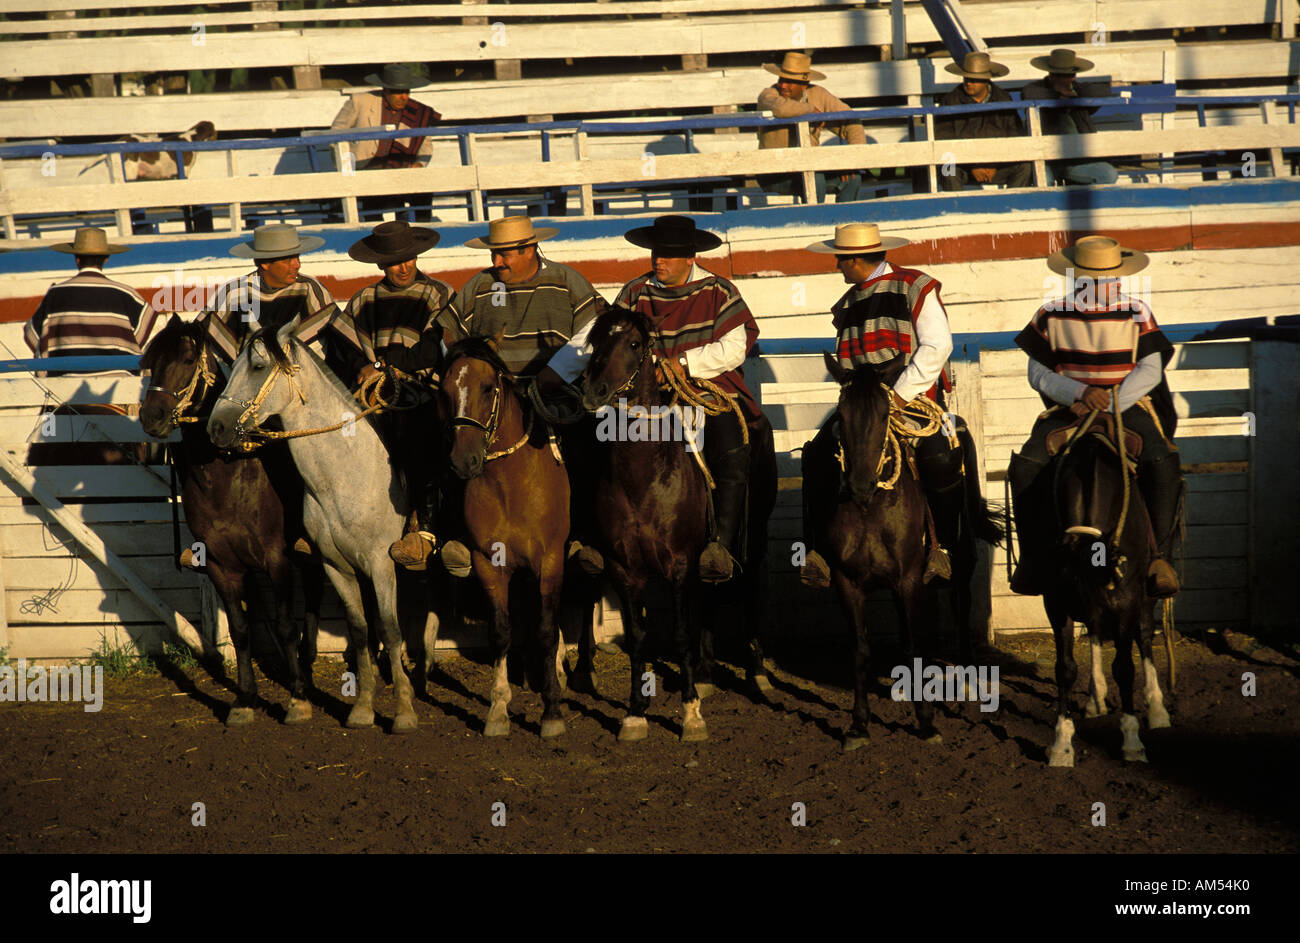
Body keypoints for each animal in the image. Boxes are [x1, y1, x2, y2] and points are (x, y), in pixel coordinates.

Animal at [138, 316, 325, 723]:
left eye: (187, 358)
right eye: (150, 361)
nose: (152, 418)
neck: (227, 477)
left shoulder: (277, 559)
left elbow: (286, 624)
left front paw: (298, 698)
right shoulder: (222, 566)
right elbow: (240, 630)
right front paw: (245, 699)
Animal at [205, 327, 423, 733]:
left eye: (257, 366)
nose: (217, 427)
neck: (346, 474)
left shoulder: (382, 564)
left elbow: (390, 628)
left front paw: (403, 712)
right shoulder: (335, 566)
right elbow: (359, 629)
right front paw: (363, 709)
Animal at [439, 335, 572, 733]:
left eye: (487, 387)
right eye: (445, 391)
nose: (463, 461)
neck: (511, 486)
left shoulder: (551, 560)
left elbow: (545, 630)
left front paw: (551, 710)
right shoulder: (488, 563)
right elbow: (500, 631)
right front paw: (498, 709)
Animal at [582, 305, 774, 738]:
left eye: (634, 344)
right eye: (595, 340)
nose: (593, 391)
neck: (644, 478)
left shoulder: (679, 565)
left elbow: (681, 633)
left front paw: (690, 714)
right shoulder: (625, 569)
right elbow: (638, 637)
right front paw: (636, 712)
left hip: (754, 536)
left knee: (750, 590)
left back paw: (757, 672)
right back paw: (703, 673)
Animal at [1024, 413, 1180, 764]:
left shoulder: (1124, 598)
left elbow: (1124, 666)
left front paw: (1132, 741)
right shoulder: (1058, 602)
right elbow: (1066, 668)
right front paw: (1062, 745)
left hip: (1145, 593)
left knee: (1144, 636)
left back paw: (1157, 709)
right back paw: (1097, 699)